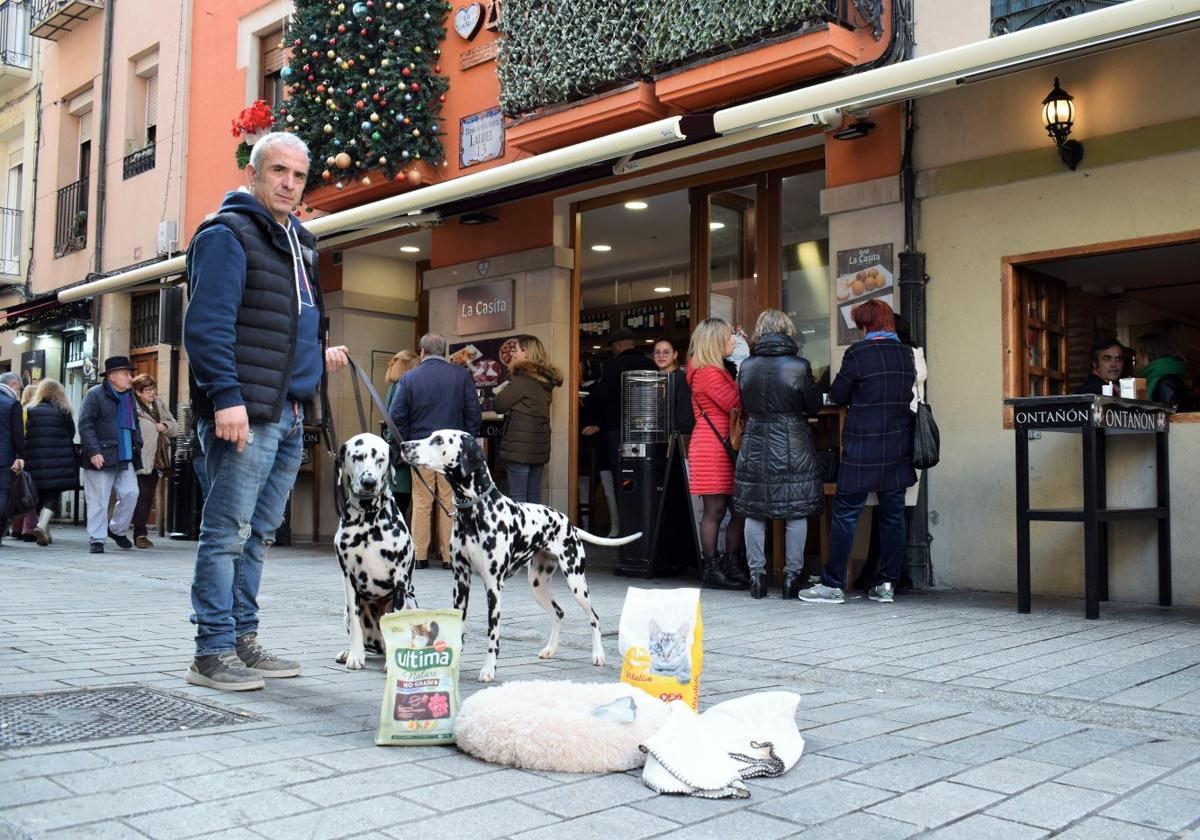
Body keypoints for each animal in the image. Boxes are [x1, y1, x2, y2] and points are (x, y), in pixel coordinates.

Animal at [333, 432, 417, 667]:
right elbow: (355, 626)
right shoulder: (348, 578)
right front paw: (355, 656)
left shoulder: (399, 579)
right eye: (357, 456)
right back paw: (349, 653)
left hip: (411, 603)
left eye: (380, 459)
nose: (369, 482)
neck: (368, 517)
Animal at [398, 429, 643, 681]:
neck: (476, 511)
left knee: (594, 617)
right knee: (559, 612)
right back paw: (550, 649)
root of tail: (569, 523)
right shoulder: (460, 582)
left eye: (438, 440)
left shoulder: (493, 585)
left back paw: (598, 655)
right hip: (538, 586)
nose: (404, 445)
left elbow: (493, 632)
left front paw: (489, 668)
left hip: (577, 584)